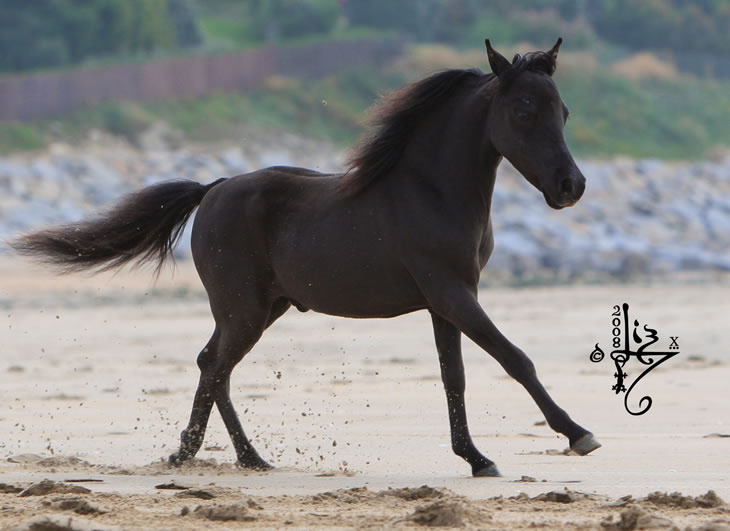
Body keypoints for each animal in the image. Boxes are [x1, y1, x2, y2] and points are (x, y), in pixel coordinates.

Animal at [14, 39, 600, 476]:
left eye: (565, 111)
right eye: (523, 111)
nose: (570, 187)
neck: (432, 192)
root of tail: (213, 189)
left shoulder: (447, 300)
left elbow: (453, 376)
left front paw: (476, 459)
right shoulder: (451, 292)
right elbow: (514, 357)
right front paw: (578, 434)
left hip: (260, 307)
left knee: (210, 364)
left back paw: (213, 454)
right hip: (244, 309)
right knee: (217, 368)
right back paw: (223, 456)